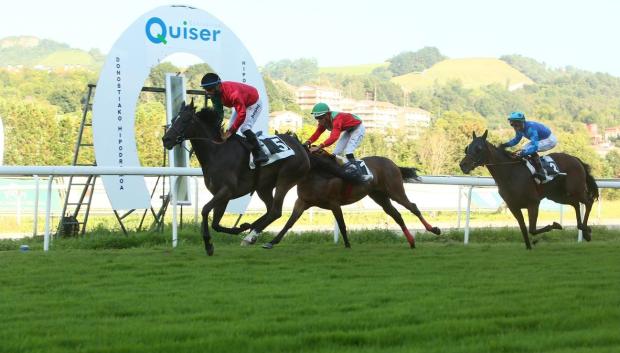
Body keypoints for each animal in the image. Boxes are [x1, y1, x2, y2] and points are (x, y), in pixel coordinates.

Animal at [160, 100, 310, 254]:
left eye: (185, 120)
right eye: (173, 119)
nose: (166, 139)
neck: (216, 152)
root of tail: (300, 146)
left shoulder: (226, 190)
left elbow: (205, 210)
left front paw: (208, 244)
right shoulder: (221, 194)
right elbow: (215, 224)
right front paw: (241, 227)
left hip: (285, 180)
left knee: (275, 211)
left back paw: (250, 236)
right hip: (264, 187)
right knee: (270, 210)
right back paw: (252, 230)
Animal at [262, 150, 440, 249]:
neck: (318, 175)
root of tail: (393, 164)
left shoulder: (334, 203)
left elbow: (341, 224)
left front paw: (347, 244)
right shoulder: (302, 202)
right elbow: (289, 223)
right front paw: (271, 242)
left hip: (395, 190)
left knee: (412, 207)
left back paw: (434, 229)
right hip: (379, 196)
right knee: (396, 215)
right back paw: (411, 241)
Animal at [458, 128, 600, 249]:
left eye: (479, 148)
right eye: (467, 148)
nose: (463, 165)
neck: (510, 173)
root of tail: (576, 159)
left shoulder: (533, 203)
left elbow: (532, 229)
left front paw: (555, 225)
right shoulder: (513, 206)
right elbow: (523, 228)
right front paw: (529, 247)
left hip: (575, 189)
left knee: (588, 202)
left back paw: (586, 230)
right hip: (557, 195)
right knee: (575, 203)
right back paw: (583, 229)